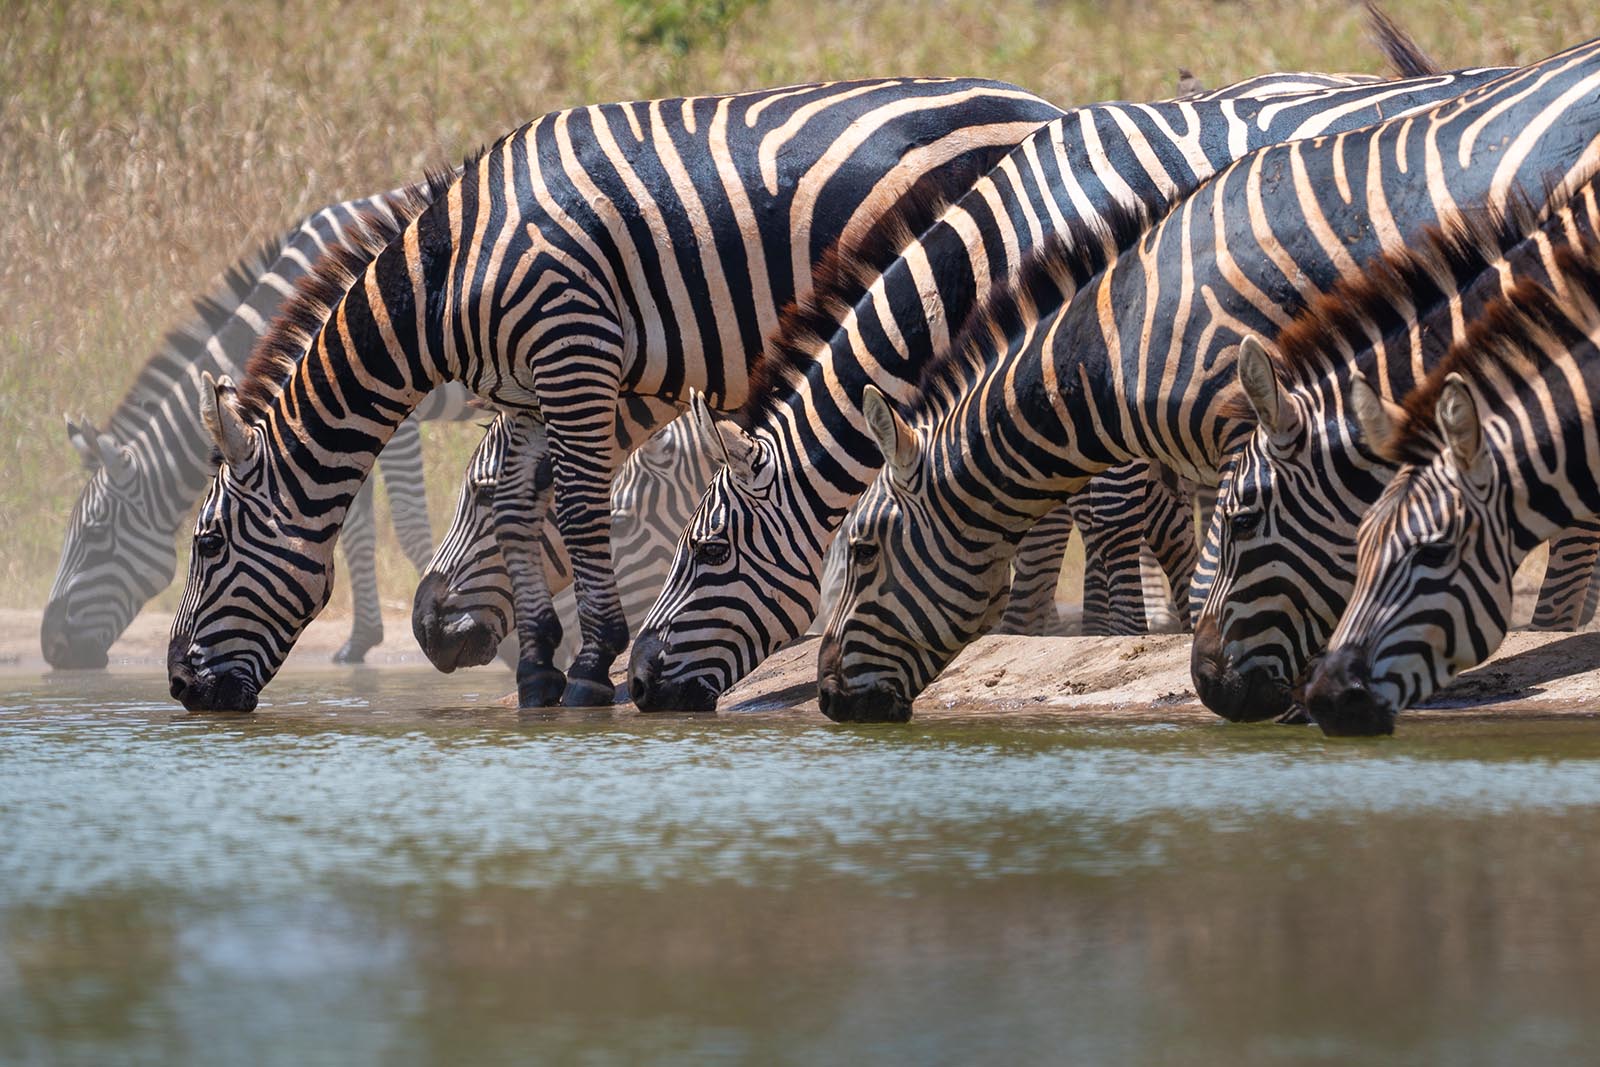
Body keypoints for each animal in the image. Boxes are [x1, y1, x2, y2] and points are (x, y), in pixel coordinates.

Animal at [41, 187, 477, 669]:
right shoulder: (330, 426)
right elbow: (356, 533)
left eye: (96, 535)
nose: (53, 648)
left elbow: (408, 524)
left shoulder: (393, 411)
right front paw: (361, 640)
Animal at [161, 79, 1073, 711]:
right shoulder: (526, 388)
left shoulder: (573, 349)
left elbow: (577, 506)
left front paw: (592, 666)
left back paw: (1023, 629)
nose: (176, 686)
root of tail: (1041, 103)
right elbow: (521, 510)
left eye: (206, 545)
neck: (447, 275)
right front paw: (538, 669)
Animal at [627, 62, 1515, 712]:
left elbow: (1101, 511)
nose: (636, 682)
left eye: (707, 550)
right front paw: (1037, 624)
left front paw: (1113, 628)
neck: (1020, 235)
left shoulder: (1099, 364)